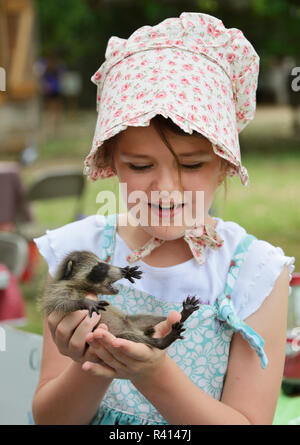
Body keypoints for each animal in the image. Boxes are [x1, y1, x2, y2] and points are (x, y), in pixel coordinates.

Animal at [39, 251, 199, 348]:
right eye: (100, 268)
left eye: (104, 262)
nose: (121, 271)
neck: (84, 287)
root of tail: (134, 329)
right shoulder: (59, 289)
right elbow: (61, 303)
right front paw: (85, 302)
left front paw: (126, 272)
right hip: (120, 336)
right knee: (133, 337)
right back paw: (161, 341)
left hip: (135, 321)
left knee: (154, 319)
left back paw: (182, 314)